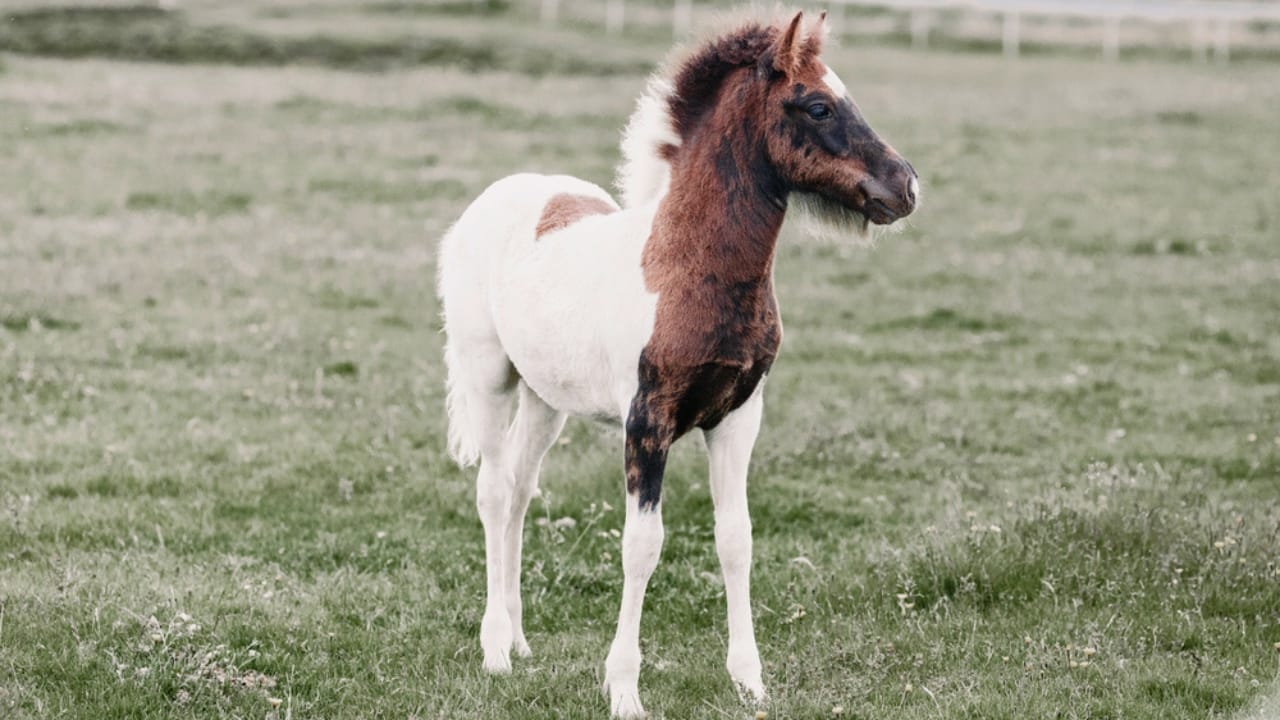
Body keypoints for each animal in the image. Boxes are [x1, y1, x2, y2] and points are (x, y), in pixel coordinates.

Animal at [436, 10, 917, 717]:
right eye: (818, 105)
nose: (906, 185)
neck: (686, 267)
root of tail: (496, 197)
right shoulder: (648, 422)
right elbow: (642, 547)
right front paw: (623, 690)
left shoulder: (739, 416)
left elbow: (736, 539)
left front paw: (750, 681)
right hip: (488, 376)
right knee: (494, 492)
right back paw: (495, 650)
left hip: (546, 399)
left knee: (522, 490)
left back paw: (520, 642)